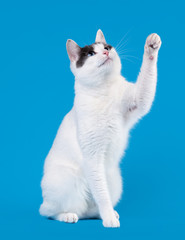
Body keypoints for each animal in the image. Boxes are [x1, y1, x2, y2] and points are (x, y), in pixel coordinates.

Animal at [39, 29, 161, 227]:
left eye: (107, 47)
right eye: (90, 54)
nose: (105, 52)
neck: (105, 91)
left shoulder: (139, 101)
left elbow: (146, 79)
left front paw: (151, 46)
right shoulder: (93, 157)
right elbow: (102, 195)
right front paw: (109, 220)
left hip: (114, 179)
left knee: (90, 210)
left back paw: (107, 213)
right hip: (66, 181)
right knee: (50, 212)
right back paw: (69, 216)